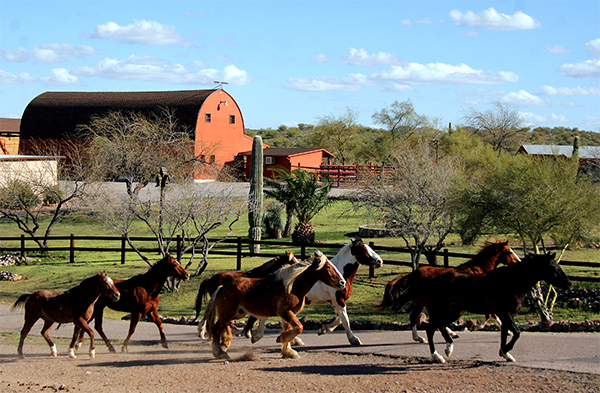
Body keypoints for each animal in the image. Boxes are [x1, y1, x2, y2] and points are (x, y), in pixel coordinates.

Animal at [206, 251, 346, 358]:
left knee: (220, 327)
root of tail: (221, 287)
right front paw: (281, 338)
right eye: (327, 267)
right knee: (216, 329)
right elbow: (299, 327)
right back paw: (220, 353)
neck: (293, 287)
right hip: (228, 314)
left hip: (237, 314)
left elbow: (290, 328)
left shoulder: (288, 314)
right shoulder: (285, 312)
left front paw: (288, 351)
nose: (342, 282)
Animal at [244, 236, 384, 344]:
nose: (380, 261)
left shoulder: (335, 301)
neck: (340, 273)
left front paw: (324, 329)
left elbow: (339, 318)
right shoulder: (338, 299)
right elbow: (345, 320)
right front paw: (354, 339)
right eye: (364, 249)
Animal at [376, 237, 520, 342]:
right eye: (509, 251)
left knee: (415, 317)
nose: (518, 262)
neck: (478, 269)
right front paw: (479, 327)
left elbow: (492, 314)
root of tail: (412, 274)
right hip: (427, 301)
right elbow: (491, 314)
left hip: (420, 302)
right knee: (424, 318)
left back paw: (422, 337)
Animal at [398, 253, 572, 362]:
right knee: (431, 328)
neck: (512, 282)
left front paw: (505, 354)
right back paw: (440, 354)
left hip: (453, 311)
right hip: (443, 310)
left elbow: (505, 333)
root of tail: (433, 279)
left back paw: (446, 349)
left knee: (436, 327)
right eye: (553, 268)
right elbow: (516, 333)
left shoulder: (506, 314)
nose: (569, 283)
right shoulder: (504, 312)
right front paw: (506, 350)